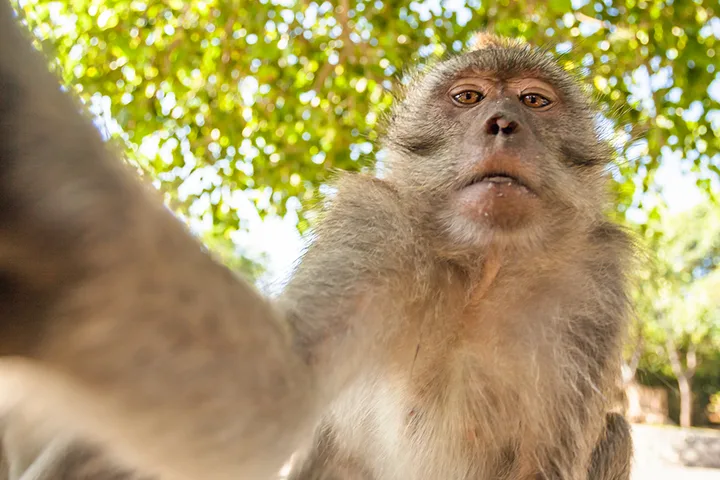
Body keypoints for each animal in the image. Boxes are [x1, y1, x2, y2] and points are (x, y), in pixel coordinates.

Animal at [0, 1, 634, 479]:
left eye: (534, 100)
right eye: (468, 98)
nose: (503, 123)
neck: (484, 264)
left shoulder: (595, 283)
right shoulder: (376, 229)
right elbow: (284, 383)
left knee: (618, 431)